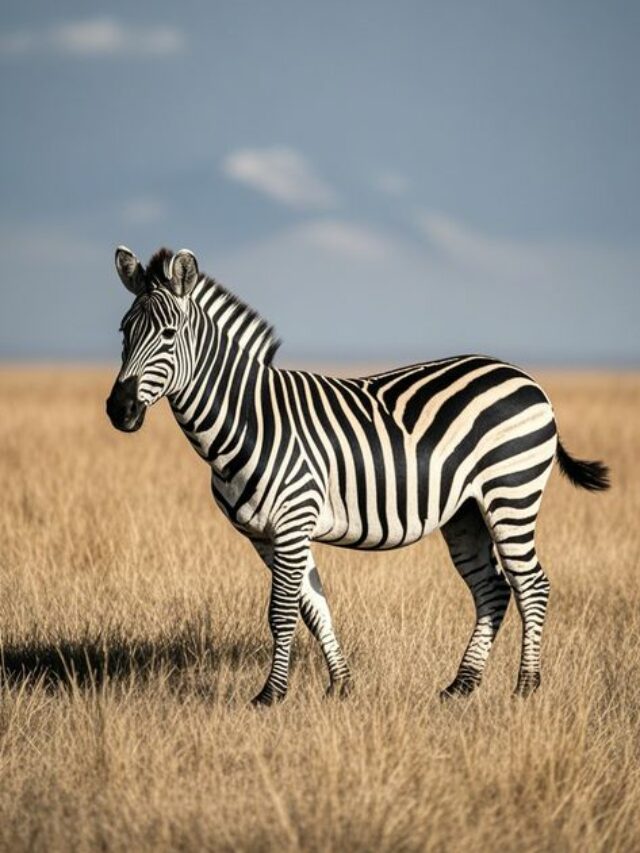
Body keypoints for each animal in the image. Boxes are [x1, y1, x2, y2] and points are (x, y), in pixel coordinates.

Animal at [106, 246, 610, 706]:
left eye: (169, 334)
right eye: (124, 331)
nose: (119, 410)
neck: (250, 420)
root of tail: (525, 377)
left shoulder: (292, 521)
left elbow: (282, 613)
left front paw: (271, 696)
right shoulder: (266, 535)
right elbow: (315, 609)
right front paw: (340, 686)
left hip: (512, 492)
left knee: (532, 585)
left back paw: (525, 688)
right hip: (466, 512)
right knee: (493, 589)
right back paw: (461, 686)